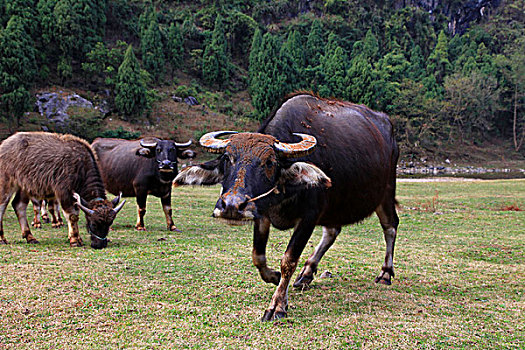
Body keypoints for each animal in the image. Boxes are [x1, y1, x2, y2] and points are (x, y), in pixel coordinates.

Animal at [174, 92, 400, 320]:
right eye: (227, 159)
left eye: (269, 162)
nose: (232, 205)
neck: (284, 193)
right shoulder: (261, 213)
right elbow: (258, 256)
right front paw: (273, 276)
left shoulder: (309, 217)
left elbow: (289, 260)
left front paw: (277, 305)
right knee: (332, 231)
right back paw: (306, 274)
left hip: (387, 191)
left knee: (390, 226)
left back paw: (385, 273)